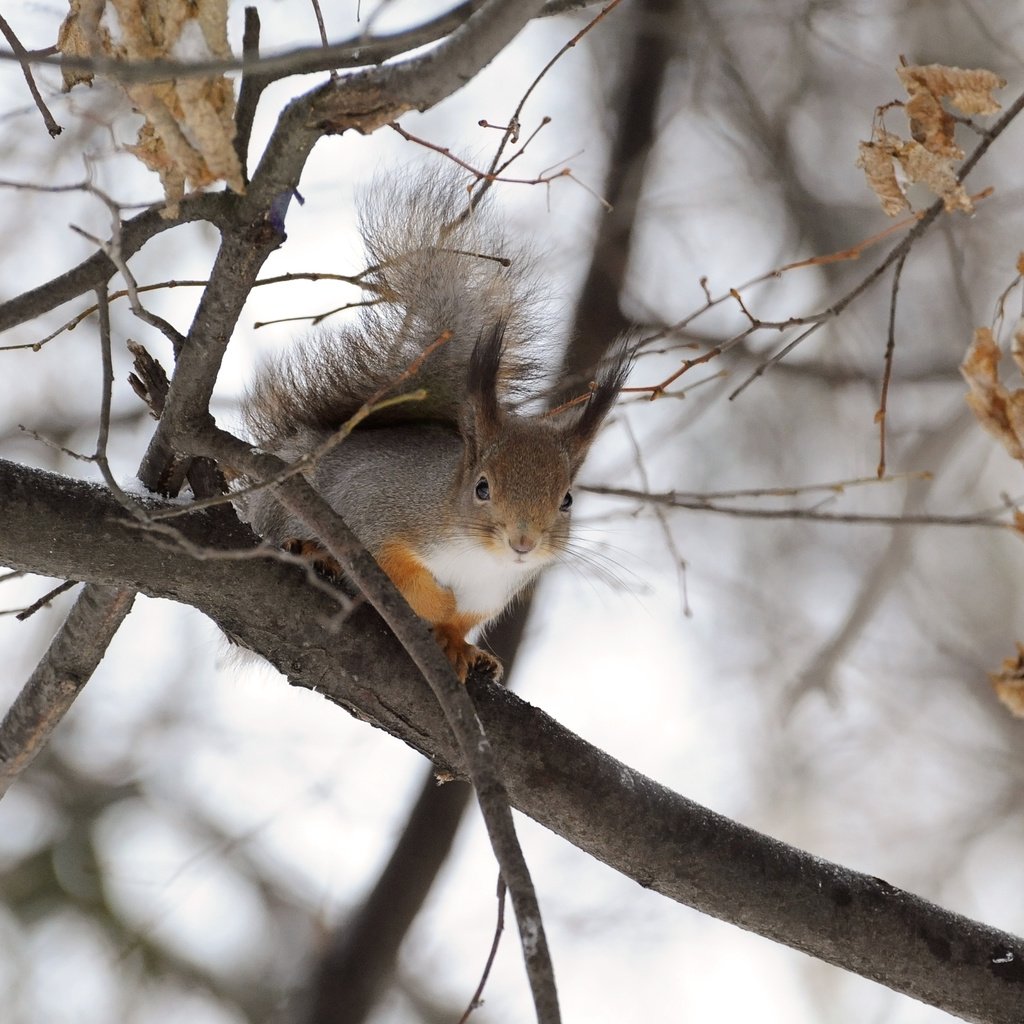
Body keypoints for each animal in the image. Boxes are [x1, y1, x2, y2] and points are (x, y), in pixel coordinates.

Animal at [239, 169, 626, 679]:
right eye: (481, 487)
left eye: (567, 500)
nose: (523, 542)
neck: (479, 557)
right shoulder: (377, 508)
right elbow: (398, 572)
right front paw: (437, 604)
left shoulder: (493, 592)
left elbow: (465, 619)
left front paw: (458, 642)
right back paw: (313, 552)